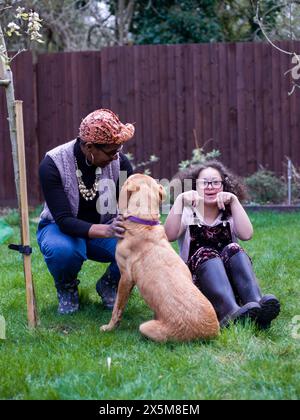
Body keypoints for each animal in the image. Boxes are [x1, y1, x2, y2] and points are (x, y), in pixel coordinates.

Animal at [99, 174, 219, 342]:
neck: (144, 221)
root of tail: (209, 333)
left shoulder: (126, 277)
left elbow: (117, 307)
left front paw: (109, 327)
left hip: (146, 327)